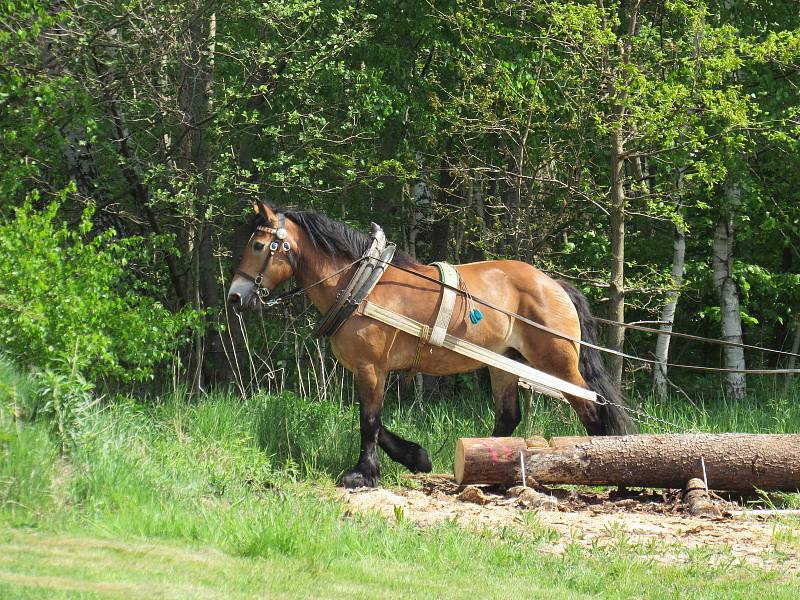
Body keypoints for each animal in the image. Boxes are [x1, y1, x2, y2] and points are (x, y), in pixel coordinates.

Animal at [228, 204, 636, 486]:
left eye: (259, 245)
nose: (235, 296)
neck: (361, 287)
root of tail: (555, 285)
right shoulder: (372, 371)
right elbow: (374, 420)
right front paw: (416, 457)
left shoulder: (371, 368)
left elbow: (368, 420)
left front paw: (363, 474)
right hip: (504, 363)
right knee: (508, 417)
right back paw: (487, 466)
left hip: (557, 363)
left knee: (592, 409)